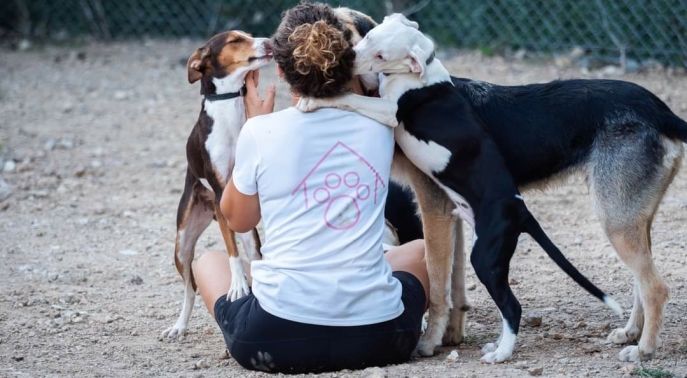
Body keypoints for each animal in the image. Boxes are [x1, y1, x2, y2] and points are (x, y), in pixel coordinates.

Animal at [163, 31, 272, 340]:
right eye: (235, 40)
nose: (271, 42)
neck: (228, 109)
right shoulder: (222, 191)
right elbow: (231, 253)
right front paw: (236, 286)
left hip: (247, 233)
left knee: (253, 256)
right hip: (182, 246)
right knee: (190, 289)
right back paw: (179, 326)